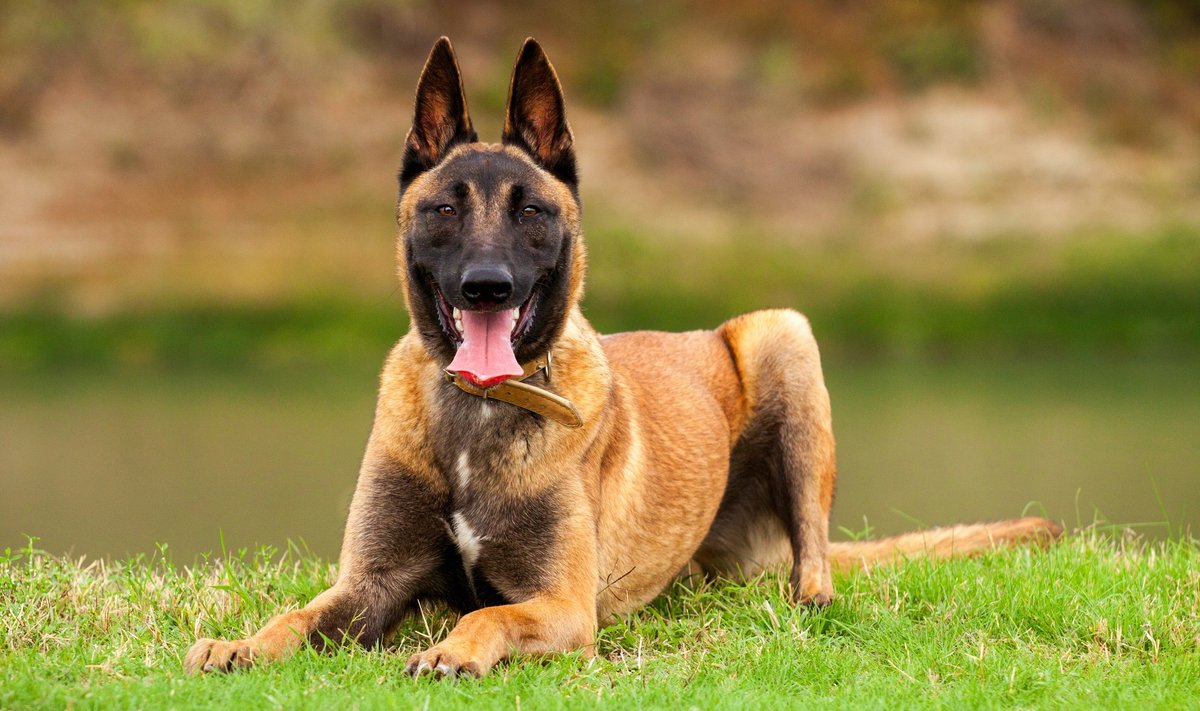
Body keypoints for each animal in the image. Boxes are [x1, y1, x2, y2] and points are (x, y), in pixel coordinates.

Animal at [182, 34, 1065, 677]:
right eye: (443, 209)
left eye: (531, 211)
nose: (486, 286)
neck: (478, 414)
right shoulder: (369, 583)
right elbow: (298, 612)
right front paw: (242, 642)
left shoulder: (563, 604)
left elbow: (487, 609)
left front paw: (451, 649)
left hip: (782, 334)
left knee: (816, 559)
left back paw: (807, 598)